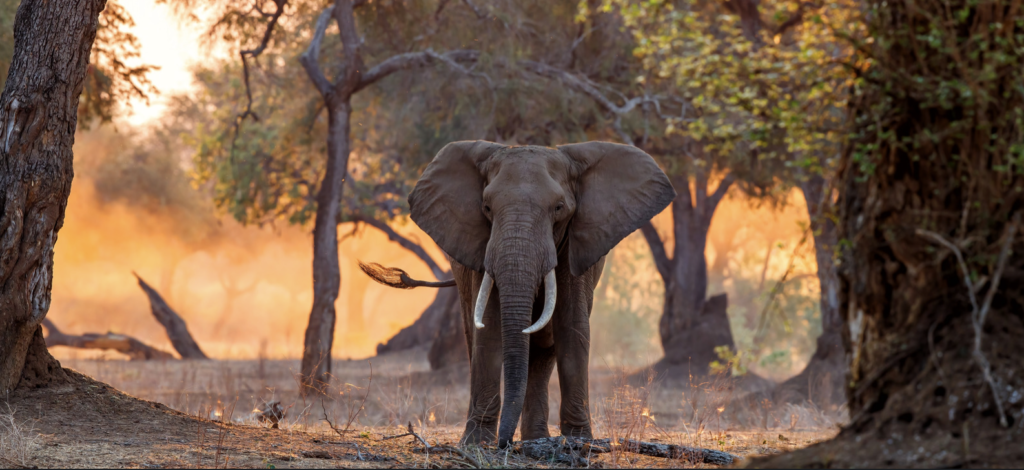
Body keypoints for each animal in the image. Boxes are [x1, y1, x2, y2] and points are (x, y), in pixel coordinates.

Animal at [360, 140, 675, 448]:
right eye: (487, 207)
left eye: (559, 208)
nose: (504, 443)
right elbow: (488, 327)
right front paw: (477, 443)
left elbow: (571, 326)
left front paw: (580, 442)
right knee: (473, 333)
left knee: (544, 344)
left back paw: (535, 439)